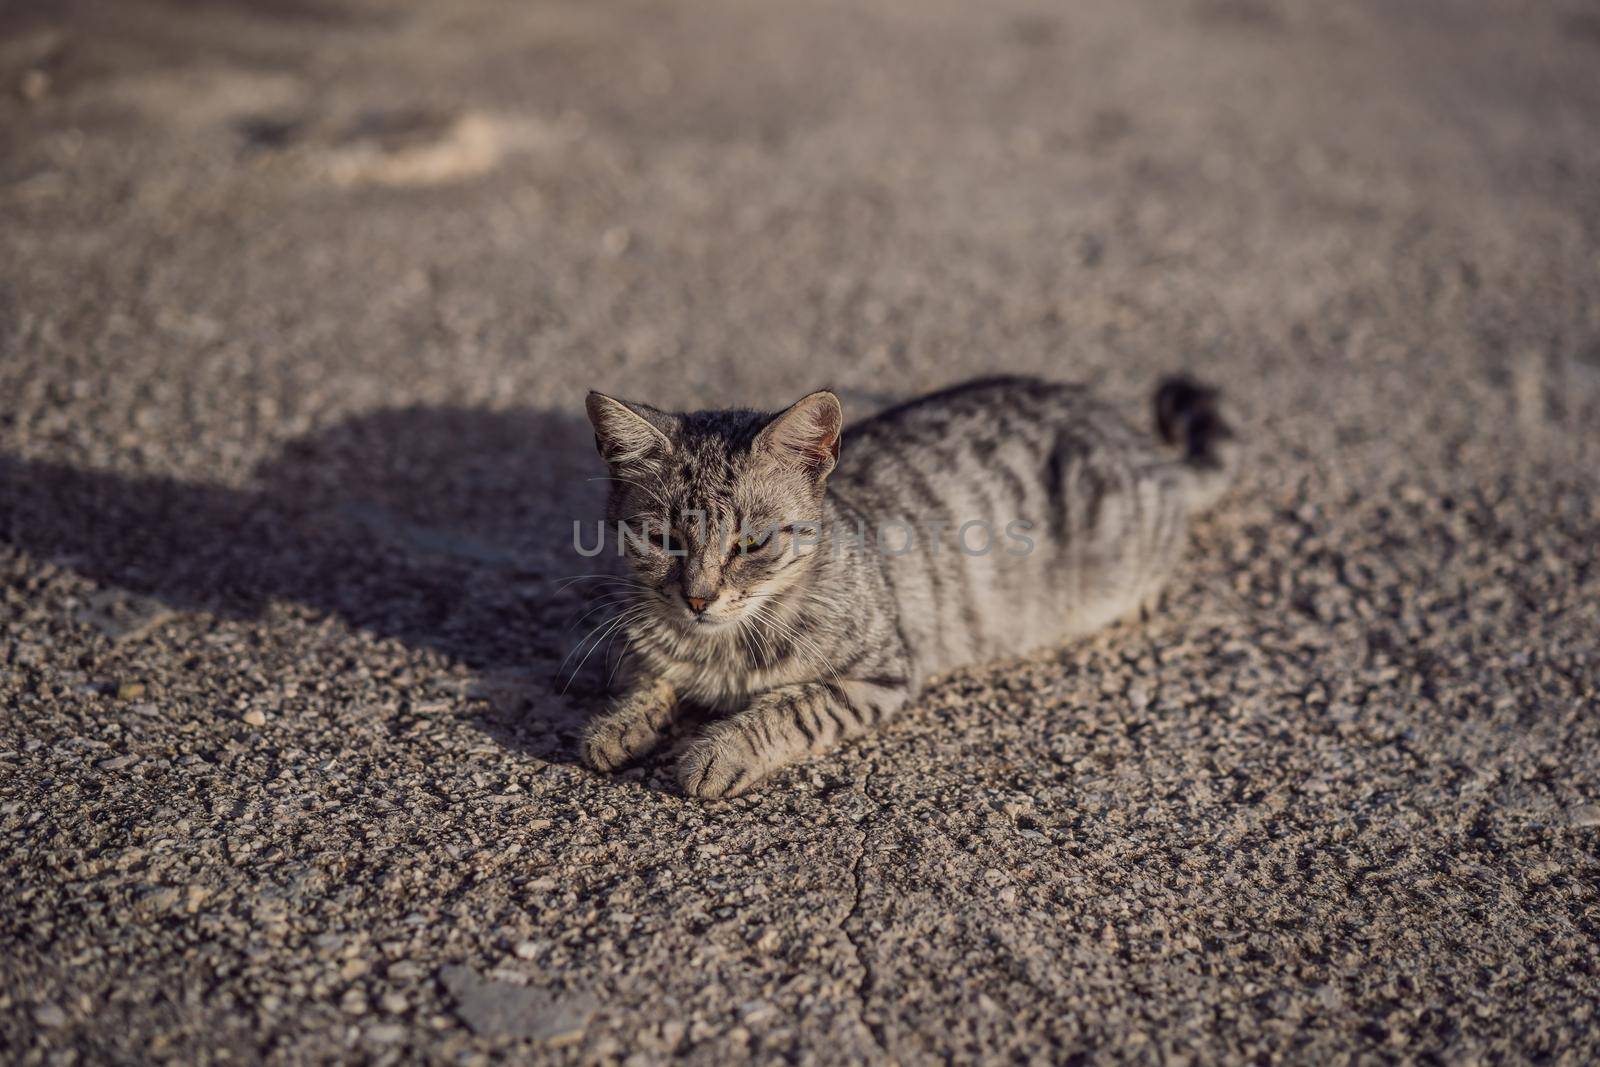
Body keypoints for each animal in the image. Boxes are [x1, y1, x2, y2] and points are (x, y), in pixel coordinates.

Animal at [576, 371, 1235, 796]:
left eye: (752, 544)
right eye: (664, 540)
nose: (699, 597)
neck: (721, 647)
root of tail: (1143, 447)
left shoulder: (878, 674)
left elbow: (788, 709)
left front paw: (717, 751)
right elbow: (645, 675)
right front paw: (616, 724)